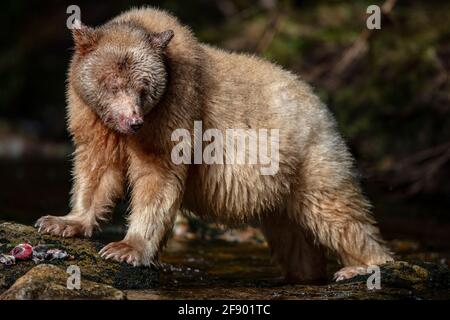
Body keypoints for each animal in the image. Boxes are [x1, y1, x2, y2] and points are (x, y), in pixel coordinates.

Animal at [36, 6, 394, 282]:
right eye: (112, 84)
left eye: (144, 87)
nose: (133, 121)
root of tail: (321, 103)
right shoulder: (91, 115)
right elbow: (96, 166)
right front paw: (61, 222)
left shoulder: (176, 108)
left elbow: (157, 175)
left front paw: (125, 249)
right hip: (282, 184)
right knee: (293, 234)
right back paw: (304, 273)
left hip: (310, 157)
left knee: (337, 213)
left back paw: (363, 266)